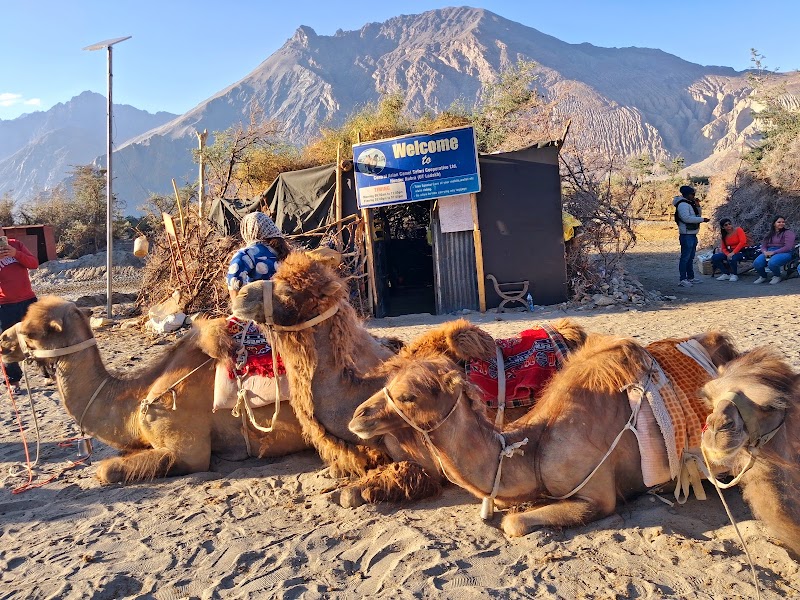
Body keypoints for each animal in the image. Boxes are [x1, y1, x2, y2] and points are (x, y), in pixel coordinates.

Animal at [349, 331, 740, 536]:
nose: (357, 416)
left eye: (408, 396)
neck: (535, 449)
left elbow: (513, 523)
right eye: (389, 383)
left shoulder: (598, 497)